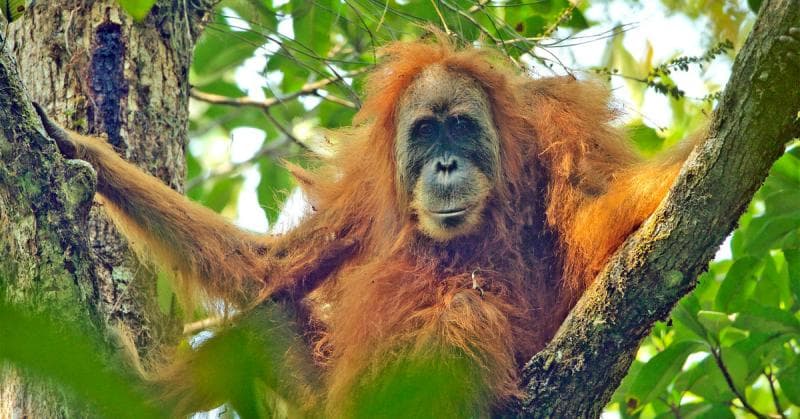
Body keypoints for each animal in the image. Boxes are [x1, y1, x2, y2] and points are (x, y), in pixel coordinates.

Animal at [32, 33, 697, 417]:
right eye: (426, 132)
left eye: (461, 127)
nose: (446, 164)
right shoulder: (366, 192)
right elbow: (271, 267)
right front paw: (83, 151)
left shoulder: (562, 132)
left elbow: (597, 221)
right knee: (267, 323)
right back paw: (133, 392)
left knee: (465, 311)